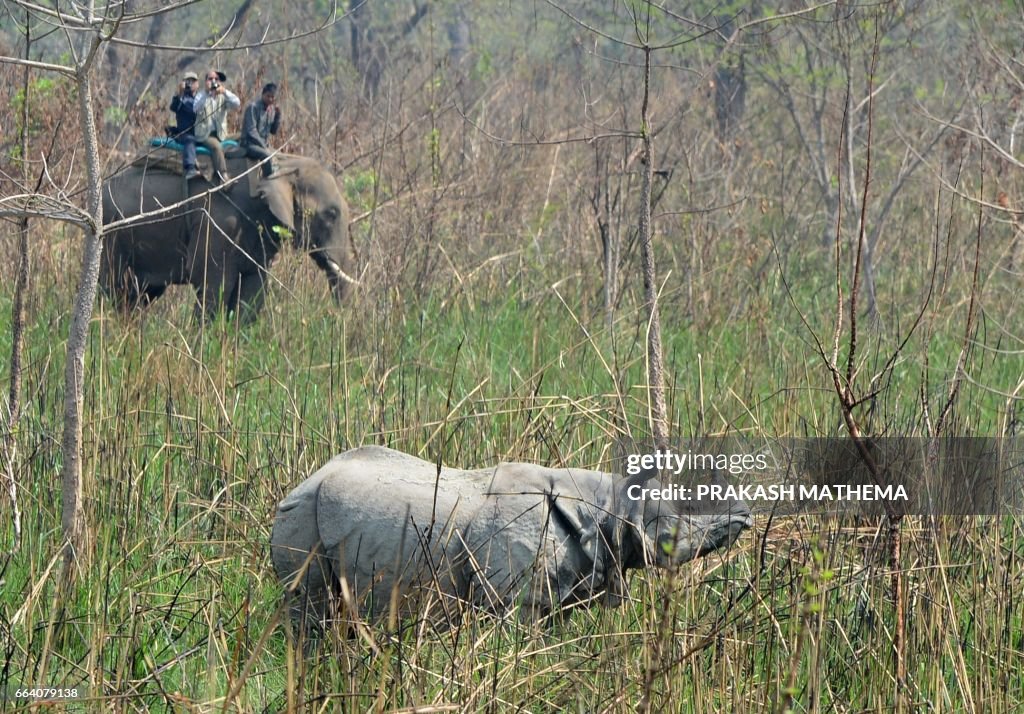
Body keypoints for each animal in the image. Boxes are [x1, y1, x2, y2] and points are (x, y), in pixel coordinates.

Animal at [99, 154, 356, 319]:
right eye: (331, 214)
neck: (282, 162)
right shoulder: (217, 224)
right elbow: (213, 284)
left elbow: (253, 290)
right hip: (110, 235)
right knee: (112, 288)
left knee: (138, 296)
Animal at [272, 442, 753, 631]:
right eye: (668, 532)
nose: (745, 517)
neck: (603, 508)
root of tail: (306, 480)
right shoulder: (515, 599)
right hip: (303, 513)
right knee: (306, 610)